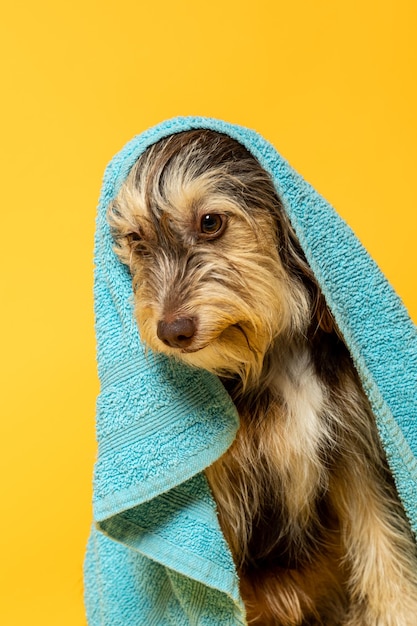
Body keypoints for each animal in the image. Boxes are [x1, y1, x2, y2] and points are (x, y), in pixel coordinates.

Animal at [107, 129, 416, 620]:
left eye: (211, 222)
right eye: (136, 238)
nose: (172, 331)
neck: (269, 359)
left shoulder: (353, 450)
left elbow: (385, 551)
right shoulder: (214, 505)